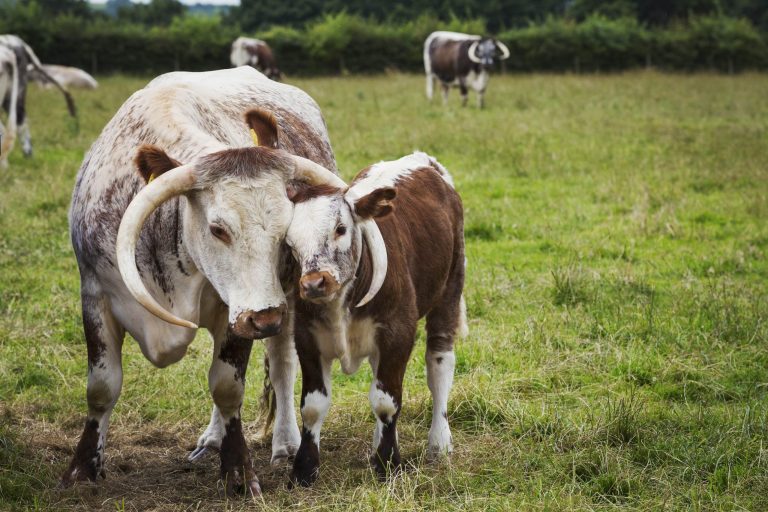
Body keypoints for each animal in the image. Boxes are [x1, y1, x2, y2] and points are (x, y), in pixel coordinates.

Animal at [63, 66, 387, 496]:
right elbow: (102, 387)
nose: (266, 319)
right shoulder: (95, 294)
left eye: (287, 231)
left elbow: (227, 386)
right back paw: (212, 439)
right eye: (218, 229)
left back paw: (285, 442)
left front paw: (238, 474)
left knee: (281, 366)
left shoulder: (242, 313)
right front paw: (82, 469)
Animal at [284, 152, 467, 486]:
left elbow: (386, 401)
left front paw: (388, 463)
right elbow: (313, 407)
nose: (314, 284)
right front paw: (304, 469)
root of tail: (424, 160)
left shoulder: (398, 333)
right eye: (290, 242)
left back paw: (439, 442)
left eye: (340, 229)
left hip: (449, 289)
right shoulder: (306, 337)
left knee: (440, 364)